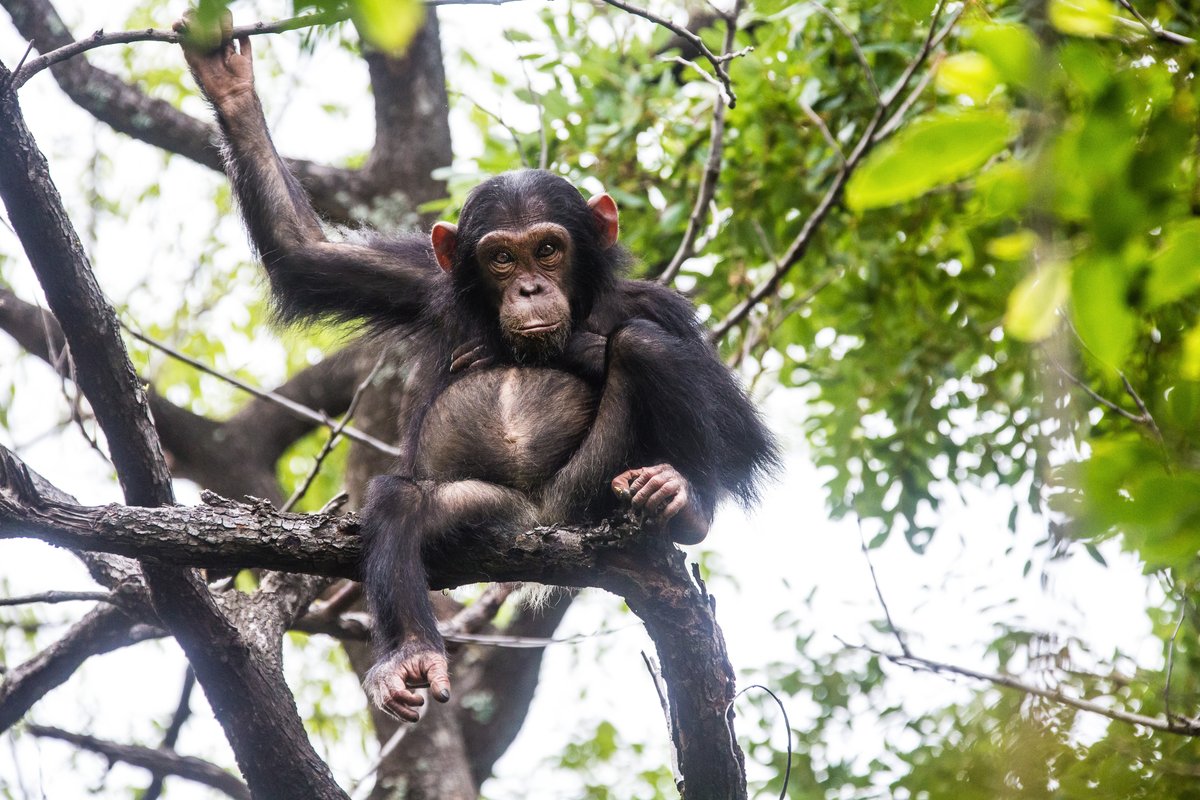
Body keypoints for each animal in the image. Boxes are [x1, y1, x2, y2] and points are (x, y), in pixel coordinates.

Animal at [177, 15, 777, 724]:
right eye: (500, 259)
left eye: (547, 249)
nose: (528, 289)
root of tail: (543, 521)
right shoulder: (423, 281)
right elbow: (305, 255)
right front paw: (229, 84)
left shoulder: (661, 305)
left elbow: (741, 434)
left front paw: (581, 346)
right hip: (493, 512)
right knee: (402, 499)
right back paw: (409, 653)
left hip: (587, 492)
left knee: (643, 348)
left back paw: (683, 501)